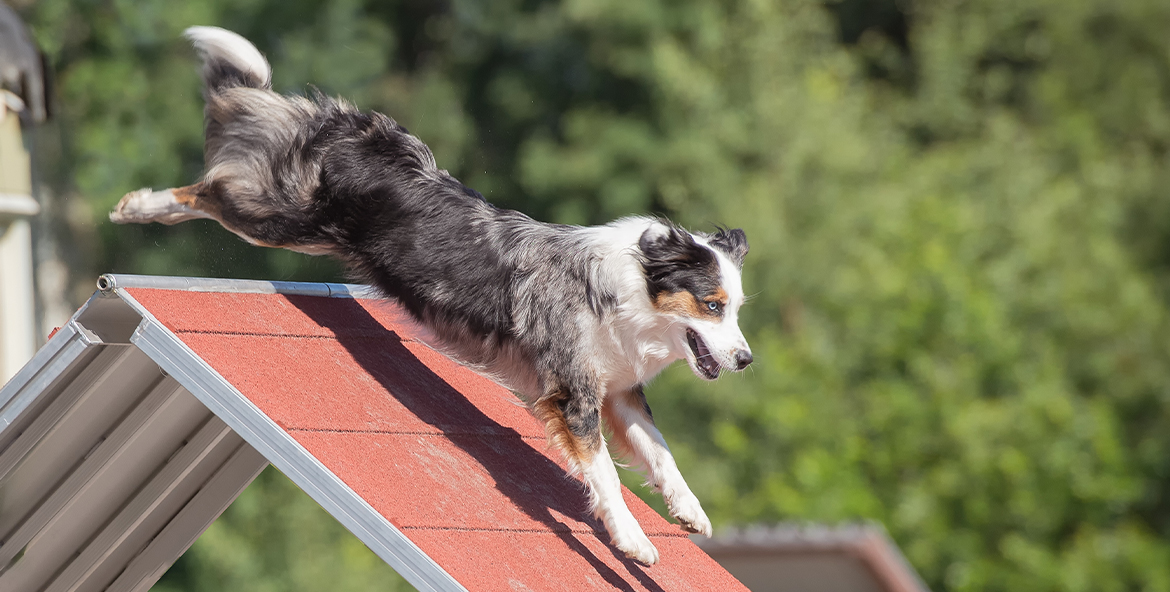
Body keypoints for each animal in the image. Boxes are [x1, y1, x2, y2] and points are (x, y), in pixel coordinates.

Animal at [107, 25, 748, 566]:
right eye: (712, 305)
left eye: (737, 309)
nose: (744, 359)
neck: (629, 291)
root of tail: (354, 128)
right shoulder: (573, 394)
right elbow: (608, 477)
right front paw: (634, 541)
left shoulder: (618, 391)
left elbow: (662, 453)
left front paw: (690, 512)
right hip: (280, 218)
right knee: (208, 189)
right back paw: (137, 205)